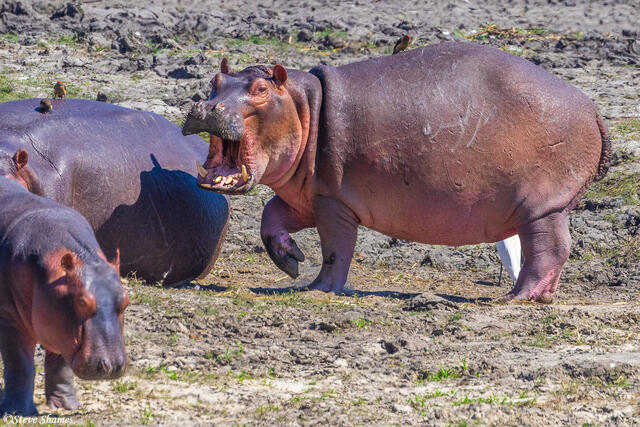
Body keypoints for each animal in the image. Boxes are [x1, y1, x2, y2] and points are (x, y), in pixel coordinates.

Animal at [0, 172, 128, 415]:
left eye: (126, 301)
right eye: (82, 302)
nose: (111, 365)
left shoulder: (60, 324)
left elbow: (60, 366)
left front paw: (67, 406)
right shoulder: (10, 319)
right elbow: (21, 365)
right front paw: (19, 412)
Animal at [183, 43, 610, 302]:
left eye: (259, 89)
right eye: (215, 81)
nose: (206, 106)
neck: (303, 107)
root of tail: (592, 108)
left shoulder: (333, 201)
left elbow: (336, 247)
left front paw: (319, 288)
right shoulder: (309, 195)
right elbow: (271, 219)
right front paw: (291, 263)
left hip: (544, 205)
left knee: (550, 249)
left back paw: (517, 298)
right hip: (539, 207)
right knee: (546, 251)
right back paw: (532, 296)